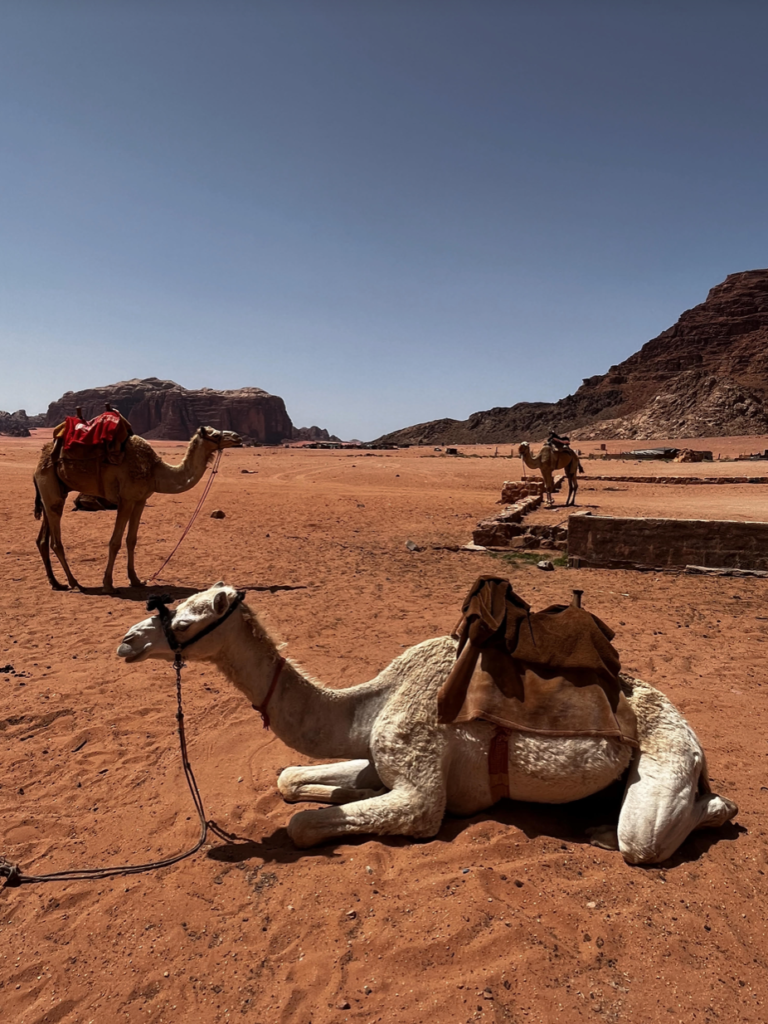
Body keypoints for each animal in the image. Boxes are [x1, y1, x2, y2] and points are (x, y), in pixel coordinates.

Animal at [33, 425, 240, 593]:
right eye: (214, 434)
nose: (237, 437)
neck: (154, 471)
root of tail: (39, 463)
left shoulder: (140, 500)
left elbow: (131, 540)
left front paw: (136, 580)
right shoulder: (126, 499)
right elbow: (115, 542)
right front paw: (108, 584)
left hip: (54, 491)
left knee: (42, 539)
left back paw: (56, 583)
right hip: (49, 484)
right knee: (55, 541)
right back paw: (75, 583)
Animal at [115, 585, 741, 864]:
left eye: (188, 619)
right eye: (173, 605)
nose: (126, 642)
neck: (372, 702)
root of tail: (693, 738)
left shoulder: (421, 789)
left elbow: (309, 824)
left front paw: (326, 808)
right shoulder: (381, 752)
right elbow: (290, 780)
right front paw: (329, 789)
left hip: (664, 764)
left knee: (647, 837)